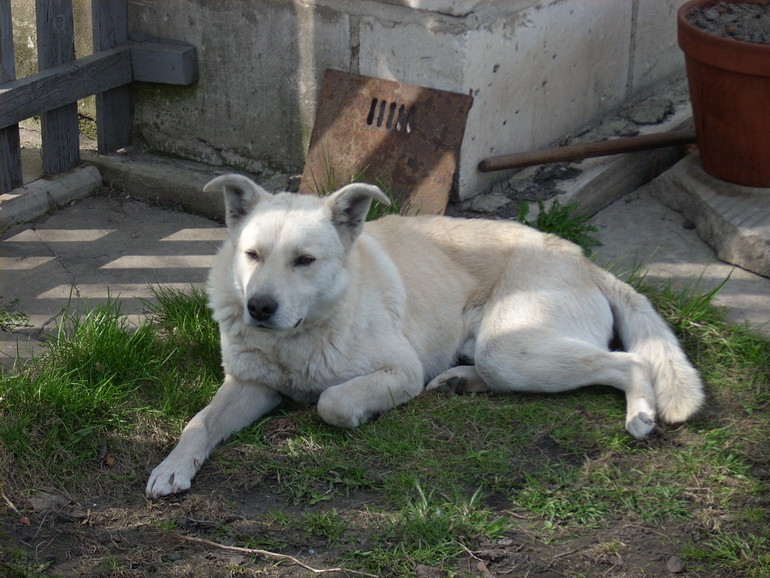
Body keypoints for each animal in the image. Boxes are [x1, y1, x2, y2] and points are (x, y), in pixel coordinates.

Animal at [144, 174, 704, 496]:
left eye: (305, 261)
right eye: (252, 255)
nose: (258, 308)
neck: (299, 338)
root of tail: (584, 260)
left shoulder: (400, 371)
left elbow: (331, 400)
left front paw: (351, 410)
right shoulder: (249, 385)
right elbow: (198, 422)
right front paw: (173, 467)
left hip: (510, 347)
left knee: (629, 361)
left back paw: (639, 412)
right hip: (503, 349)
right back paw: (459, 381)